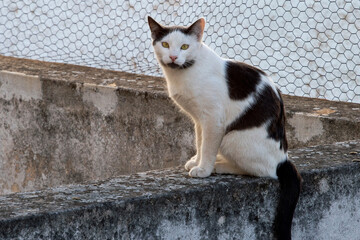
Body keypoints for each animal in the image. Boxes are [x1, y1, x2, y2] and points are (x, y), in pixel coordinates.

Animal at [148, 17, 302, 240]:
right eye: (165, 44)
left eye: (185, 46)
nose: (174, 56)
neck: (185, 73)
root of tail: (284, 158)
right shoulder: (199, 119)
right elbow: (200, 142)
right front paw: (196, 160)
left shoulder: (214, 119)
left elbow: (208, 147)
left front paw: (203, 169)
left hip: (231, 138)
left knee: (265, 171)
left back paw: (218, 166)